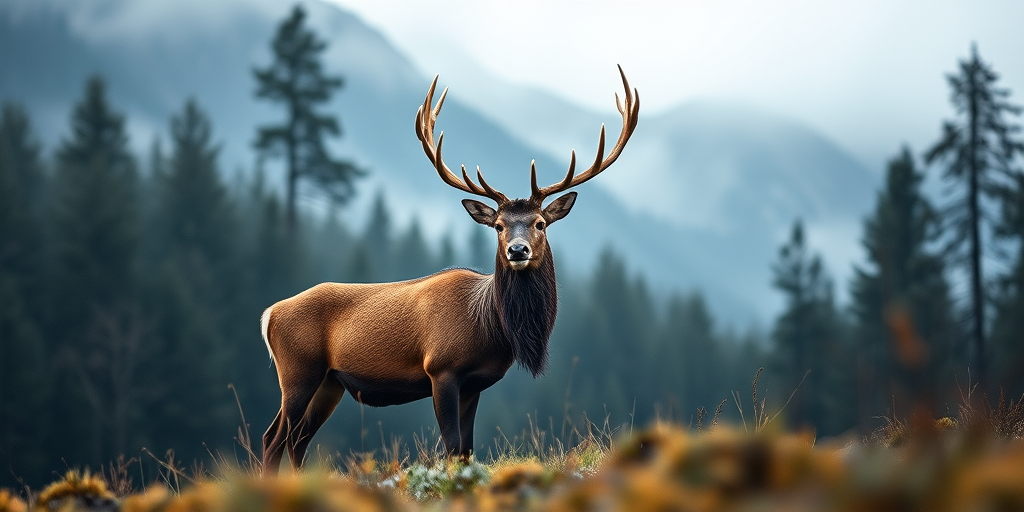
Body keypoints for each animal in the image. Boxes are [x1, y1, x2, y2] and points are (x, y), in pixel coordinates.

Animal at [259, 66, 639, 473]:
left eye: (540, 223)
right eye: (498, 226)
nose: (517, 250)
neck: (490, 327)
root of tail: (270, 315)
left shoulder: (474, 384)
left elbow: (467, 449)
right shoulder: (440, 369)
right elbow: (453, 447)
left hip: (330, 382)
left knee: (298, 440)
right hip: (298, 370)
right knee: (273, 437)